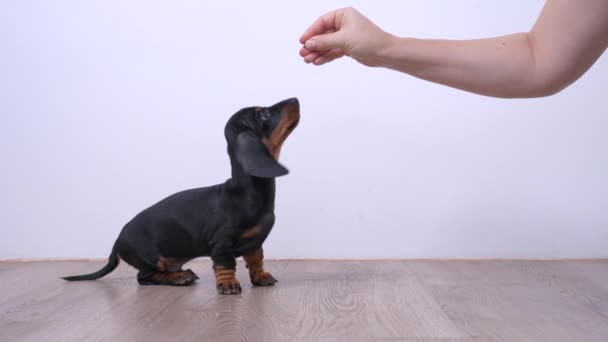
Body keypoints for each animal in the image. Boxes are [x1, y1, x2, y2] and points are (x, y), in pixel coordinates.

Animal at [63, 97, 300, 294]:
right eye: (263, 114)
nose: (295, 99)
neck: (249, 192)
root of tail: (117, 240)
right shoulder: (221, 245)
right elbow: (225, 265)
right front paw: (228, 284)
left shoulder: (254, 243)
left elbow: (257, 260)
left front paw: (261, 277)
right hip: (152, 259)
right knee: (144, 276)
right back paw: (178, 278)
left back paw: (182, 273)